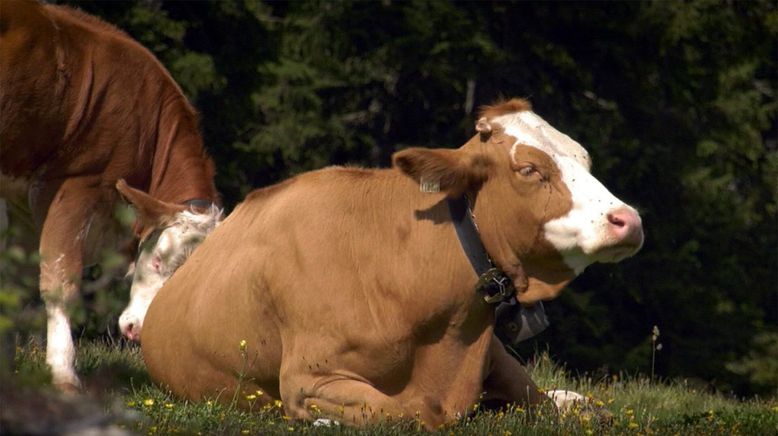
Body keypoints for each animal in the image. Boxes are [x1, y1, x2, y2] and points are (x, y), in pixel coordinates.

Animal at [0, 0, 220, 388]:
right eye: (158, 260)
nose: (138, 332)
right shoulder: (74, 186)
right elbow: (60, 284)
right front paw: (63, 373)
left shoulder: (22, 202)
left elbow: (15, 281)